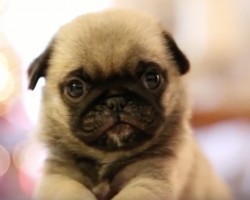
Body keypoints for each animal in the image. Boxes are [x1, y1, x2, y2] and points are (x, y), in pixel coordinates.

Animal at [28, 8, 231, 199]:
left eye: (152, 78)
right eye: (75, 88)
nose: (116, 101)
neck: (108, 156)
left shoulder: (151, 179)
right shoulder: (58, 179)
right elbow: (74, 192)